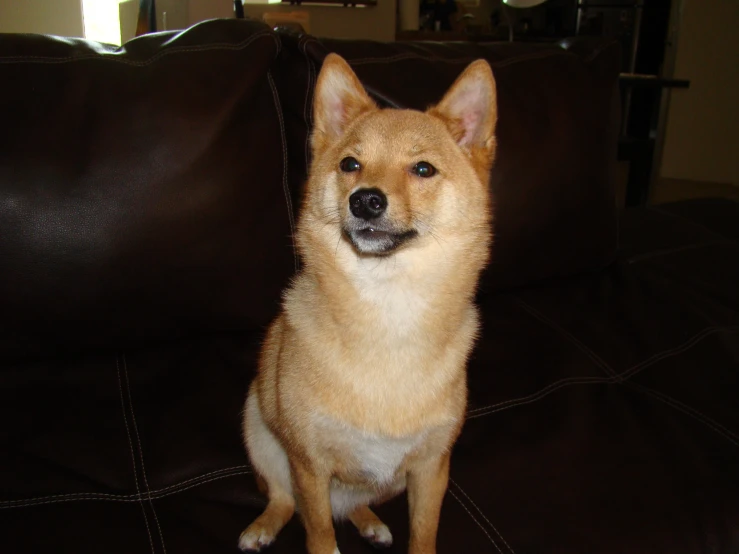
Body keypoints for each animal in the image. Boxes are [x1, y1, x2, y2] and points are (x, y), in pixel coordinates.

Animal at [241, 52, 498, 552]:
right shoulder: (308, 466)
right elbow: (320, 531)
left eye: (423, 169)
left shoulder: (431, 469)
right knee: (284, 499)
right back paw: (263, 526)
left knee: (354, 504)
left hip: (389, 480)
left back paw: (368, 520)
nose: (365, 201)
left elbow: (424, 532)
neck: (387, 306)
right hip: (260, 433)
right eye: (350, 164)